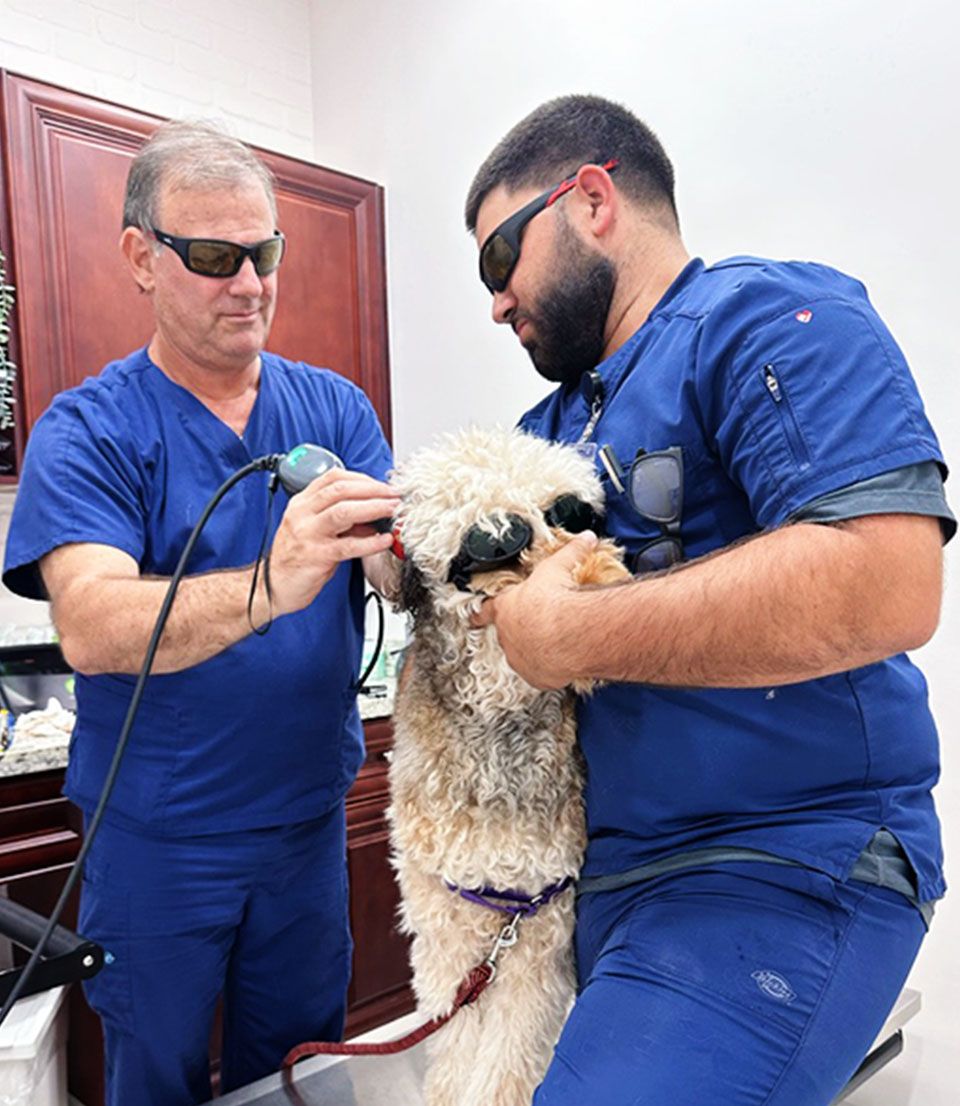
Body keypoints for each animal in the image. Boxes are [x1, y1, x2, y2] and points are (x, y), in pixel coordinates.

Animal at [382, 424, 628, 1106]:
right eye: (495, 539)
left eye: (569, 513)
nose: (597, 586)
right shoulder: (445, 928)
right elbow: (456, 1051)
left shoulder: (540, 925)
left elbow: (504, 1065)